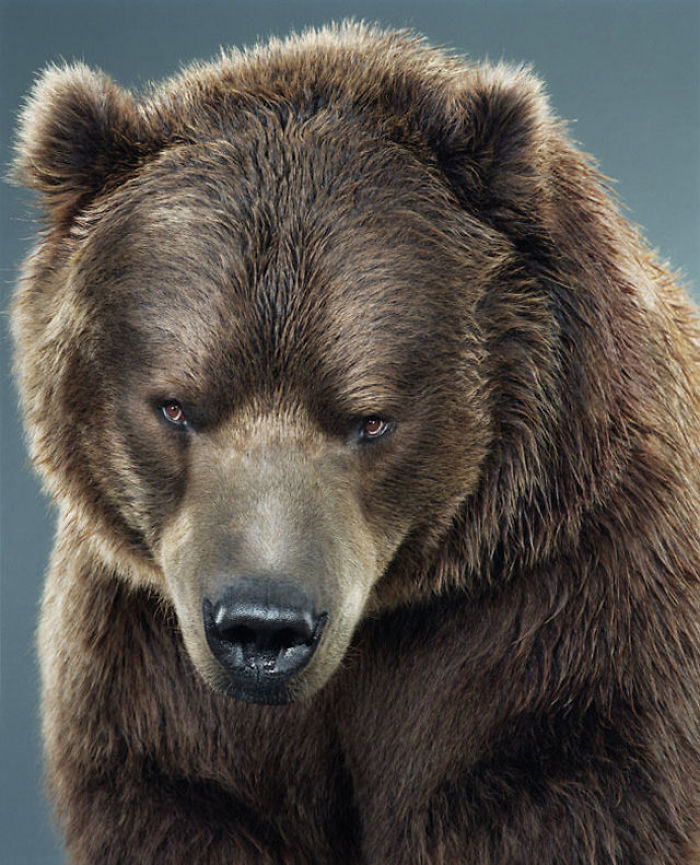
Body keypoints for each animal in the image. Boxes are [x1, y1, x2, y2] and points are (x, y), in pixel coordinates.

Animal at [10, 20, 700, 865]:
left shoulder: (567, 639)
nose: (263, 626)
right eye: (175, 406)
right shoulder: (153, 687)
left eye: (370, 418)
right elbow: (192, 797)